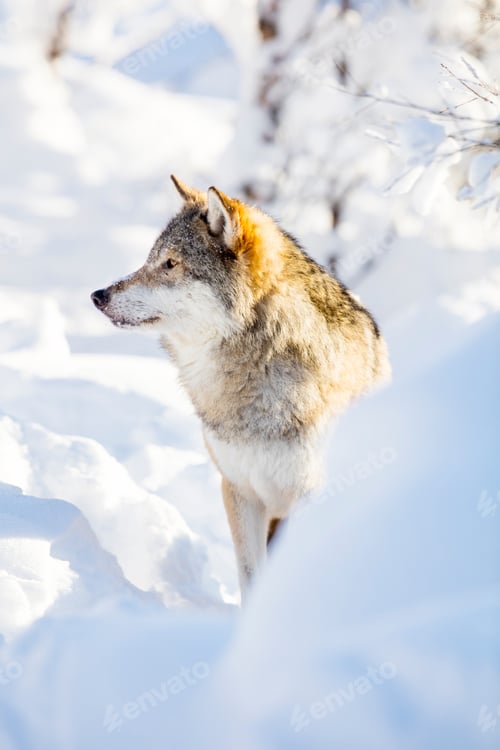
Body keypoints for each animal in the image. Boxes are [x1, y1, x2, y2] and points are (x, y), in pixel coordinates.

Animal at [91, 176, 390, 601]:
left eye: (170, 263)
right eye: (150, 259)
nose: (98, 295)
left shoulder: (309, 495)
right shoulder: (239, 490)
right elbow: (251, 575)